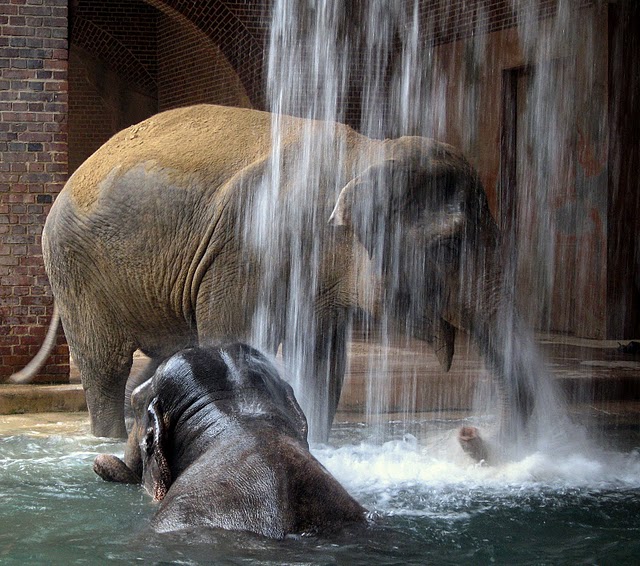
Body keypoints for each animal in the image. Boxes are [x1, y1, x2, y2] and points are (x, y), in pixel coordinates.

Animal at [12, 103, 536, 448]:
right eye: (449, 246)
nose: (474, 433)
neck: (370, 153)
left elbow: (323, 362)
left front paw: (318, 450)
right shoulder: (244, 250)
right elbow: (234, 343)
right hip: (77, 272)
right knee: (105, 366)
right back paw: (105, 440)